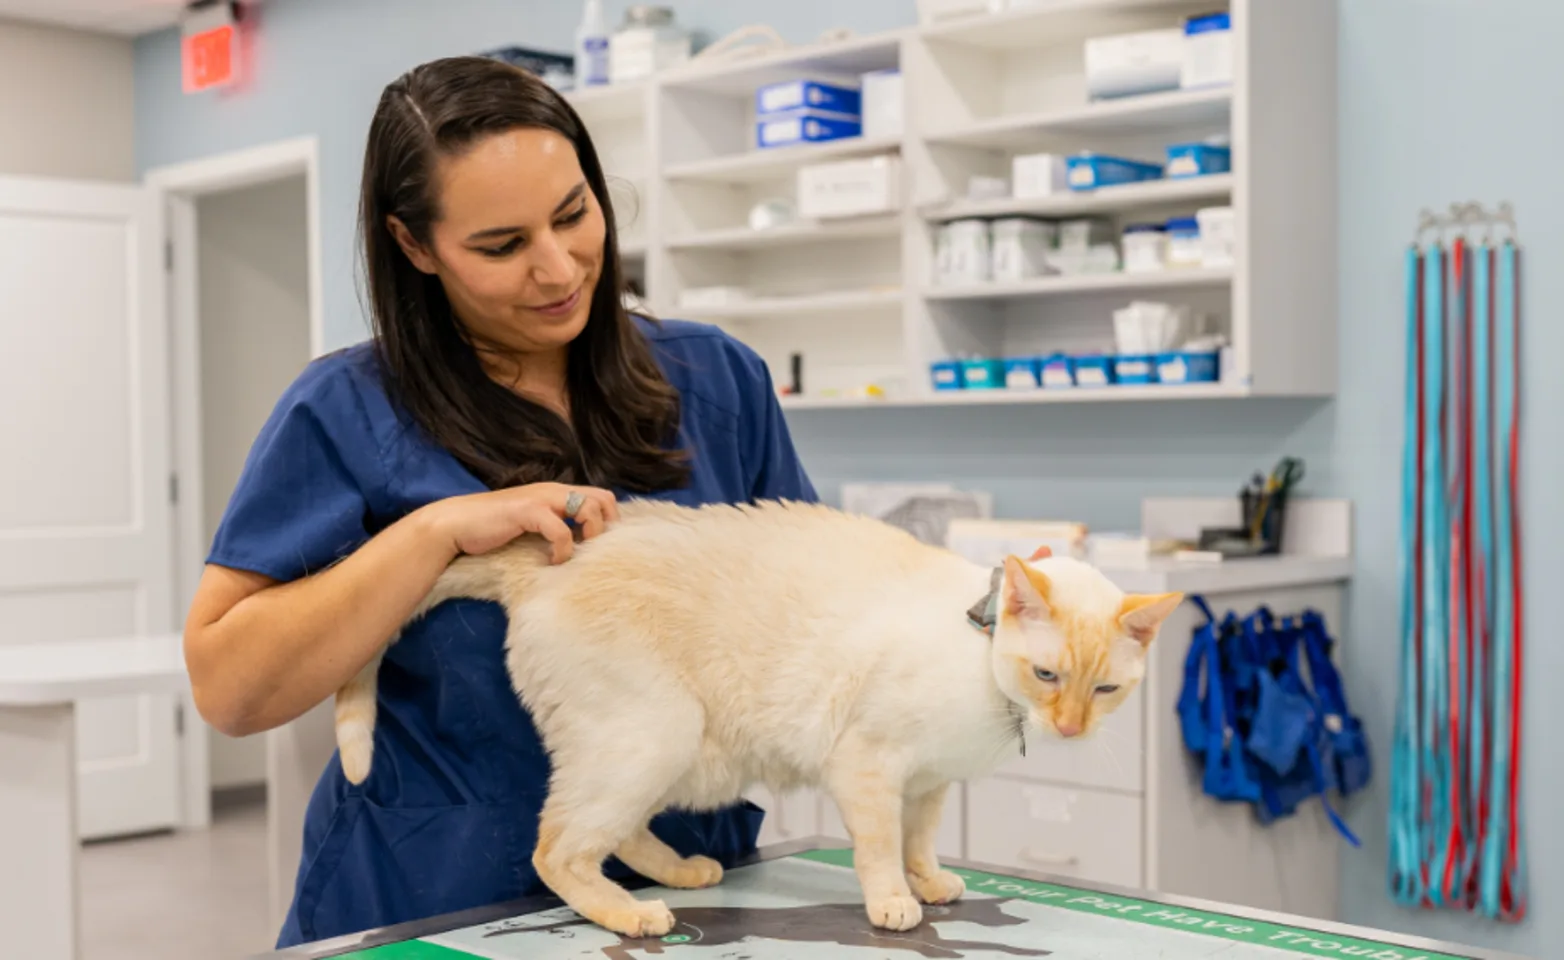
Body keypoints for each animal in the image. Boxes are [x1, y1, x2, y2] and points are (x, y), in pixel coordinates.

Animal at [336, 503, 1176, 938]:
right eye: (1048, 676)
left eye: (1104, 690)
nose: (1069, 728)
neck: (980, 663)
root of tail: (551, 564)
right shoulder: (870, 767)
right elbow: (880, 850)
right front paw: (894, 903)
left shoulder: (930, 783)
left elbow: (920, 841)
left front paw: (930, 882)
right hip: (655, 733)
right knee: (557, 848)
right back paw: (633, 916)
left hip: (674, 756)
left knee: (615, 834)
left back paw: (683, 873)